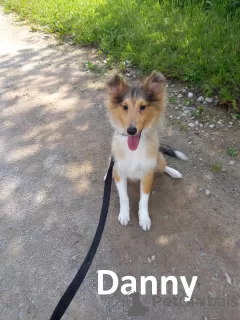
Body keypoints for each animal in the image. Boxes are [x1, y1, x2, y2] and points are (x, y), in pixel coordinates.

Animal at [106, 70, 187, 230]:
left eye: (143, 107)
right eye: (125, 107)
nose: (131, 130)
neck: (134, 150)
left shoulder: (147, 174)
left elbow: (143, 200)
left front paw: (144, 218)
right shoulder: (120, 171)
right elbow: (124, 197)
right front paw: (124, 215)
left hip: (158, 159)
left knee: (163, 165)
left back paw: (174, 172)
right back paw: (107, 175)